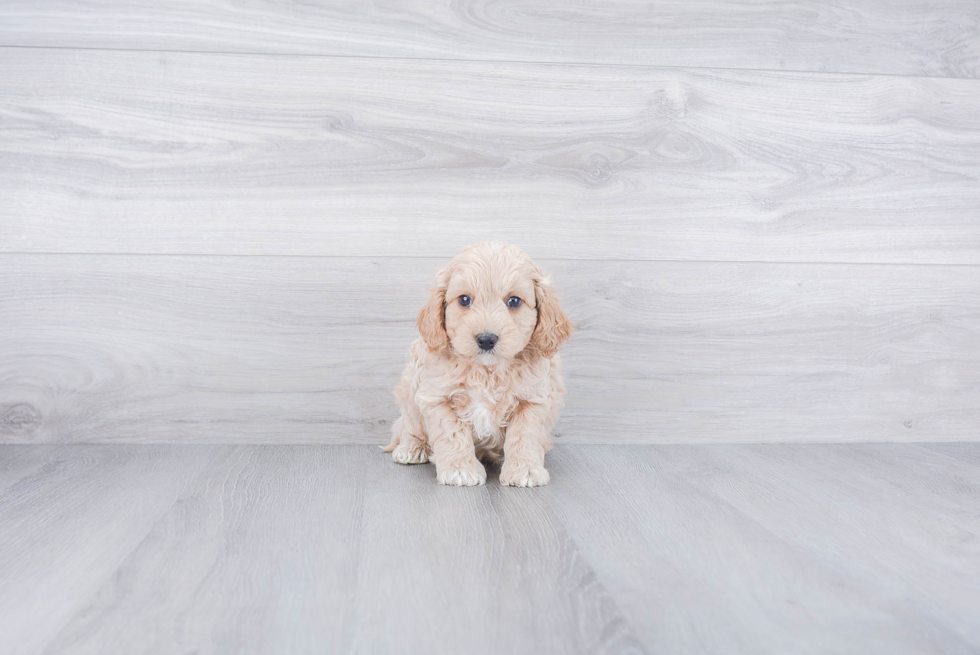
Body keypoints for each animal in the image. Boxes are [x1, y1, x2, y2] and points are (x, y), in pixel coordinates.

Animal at [384, 242, 576, 486]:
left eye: (514, 301)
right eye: (464, 300)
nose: (486, 339)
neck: (487, 370)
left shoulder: (533, 400)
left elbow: (524, 435)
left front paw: (525, 470)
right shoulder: (438, 397)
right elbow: (452, 433)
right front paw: (460, 469)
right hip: (410, 387)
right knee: (408, 423)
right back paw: (411, 448)